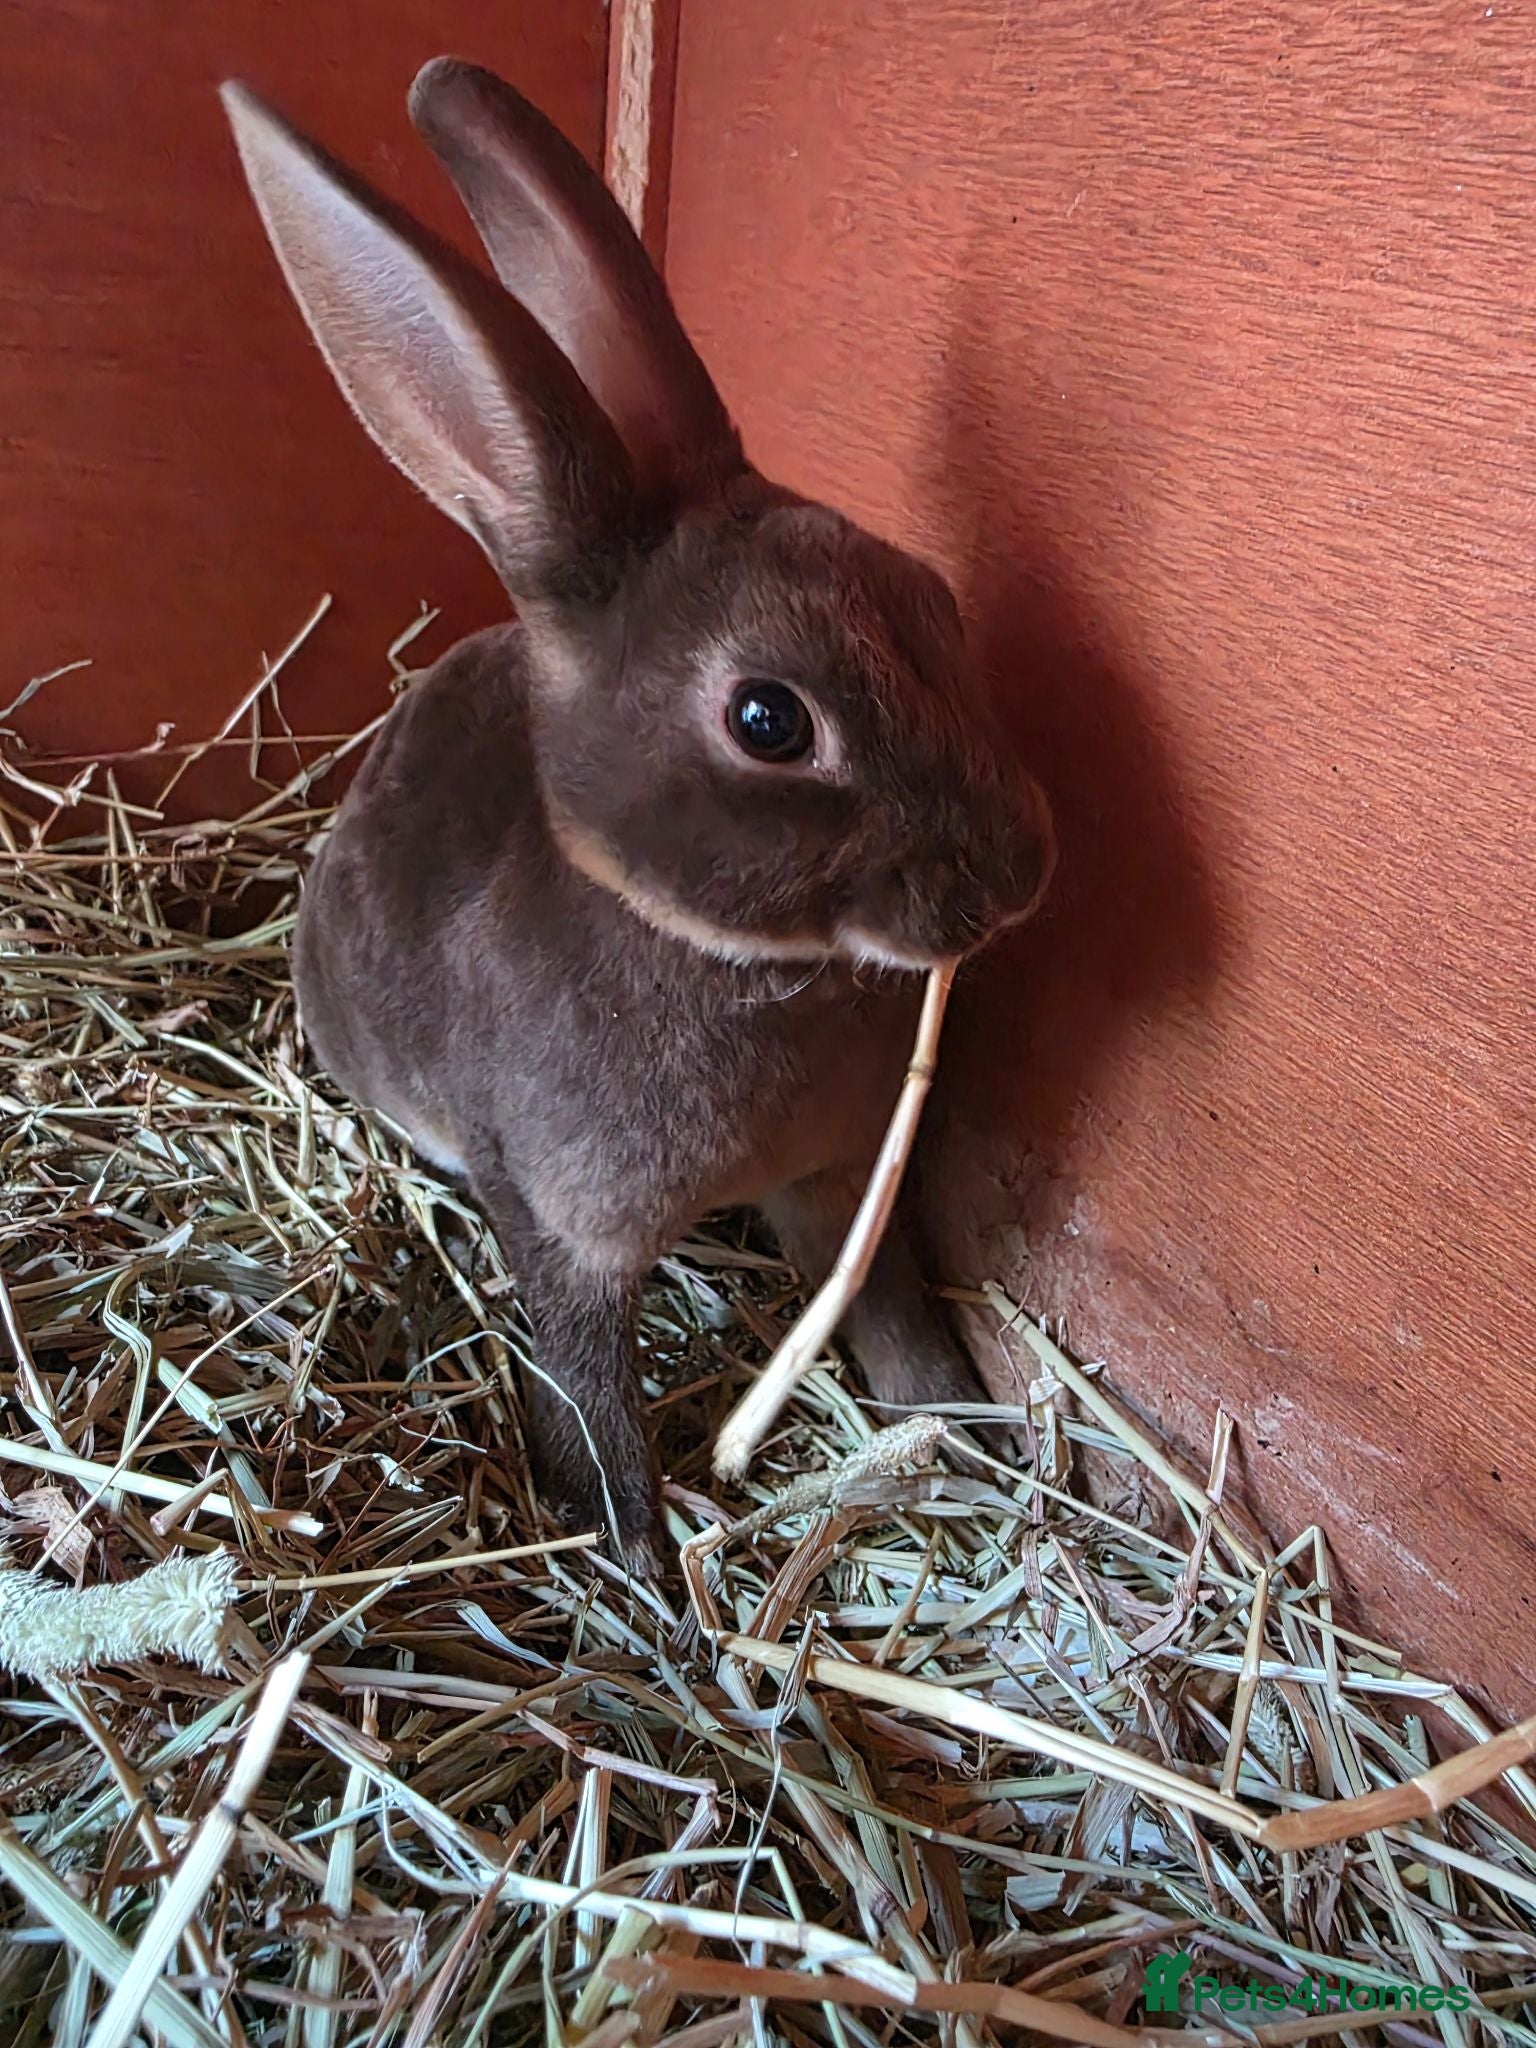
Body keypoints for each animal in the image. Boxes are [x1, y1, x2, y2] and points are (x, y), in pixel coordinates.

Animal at [220, 59, 1056, 1573]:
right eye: (770, 721)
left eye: (933, 599)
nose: (1020, 872)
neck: (722, 955)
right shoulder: (564, 1225)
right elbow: (586, 1390)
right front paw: (641, 1563)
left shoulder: (840, 1184)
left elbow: (889, 1312)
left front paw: (954, 1429)